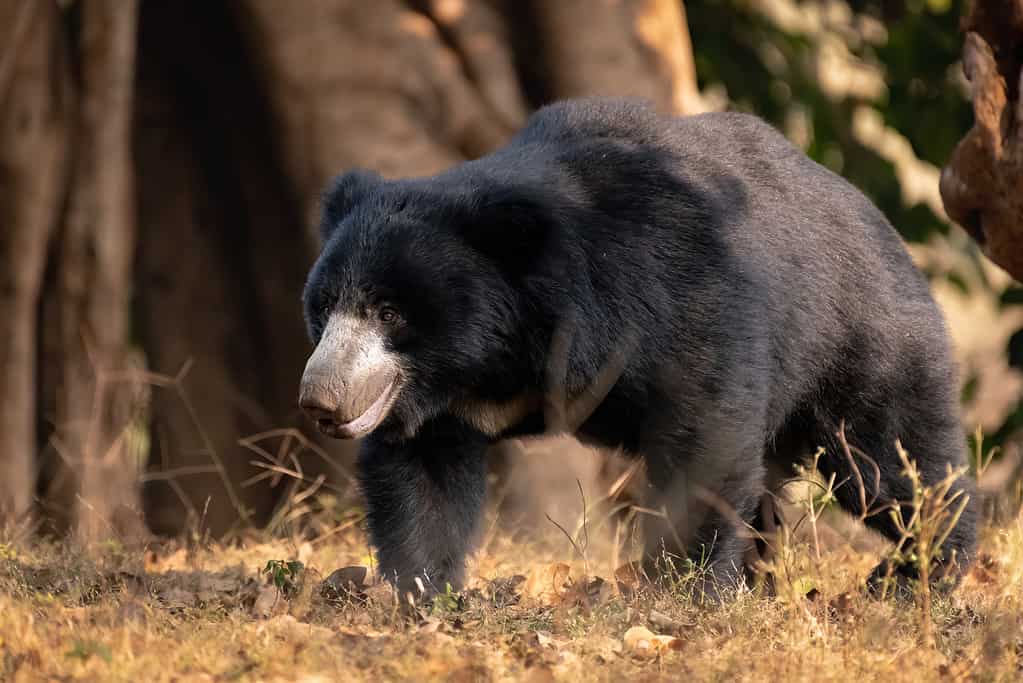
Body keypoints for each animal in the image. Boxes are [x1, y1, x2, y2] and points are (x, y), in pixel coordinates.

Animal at [298, 97, 973, 601]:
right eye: (324, 308)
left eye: (390, 312)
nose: (320, 399)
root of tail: (877, 219)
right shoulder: (433, 400)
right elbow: (422, 477)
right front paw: (419, 593)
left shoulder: (676, 290)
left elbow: (703, 433)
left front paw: (680, 591)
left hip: (859, 342)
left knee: (890, 459)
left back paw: (918, 571)